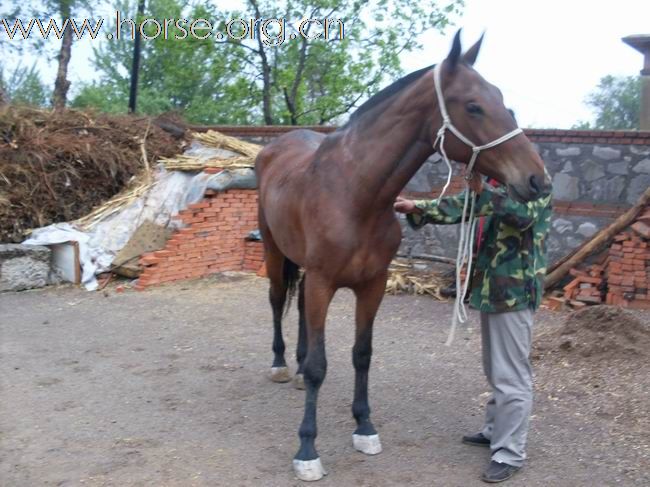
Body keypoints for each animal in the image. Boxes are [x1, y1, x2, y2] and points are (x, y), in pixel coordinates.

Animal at [253, 31, 548, 484]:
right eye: (474, 105)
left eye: (501, 99)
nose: (538, 180)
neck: (355, 193)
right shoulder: (324, 282)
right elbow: (322, 364)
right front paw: (307, 450)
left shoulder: (372, 285)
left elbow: (362, 355)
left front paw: (364, 428)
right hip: (274, 252)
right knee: (275, 301)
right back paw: (282, 365)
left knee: (298, 307)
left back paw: (298, 371)